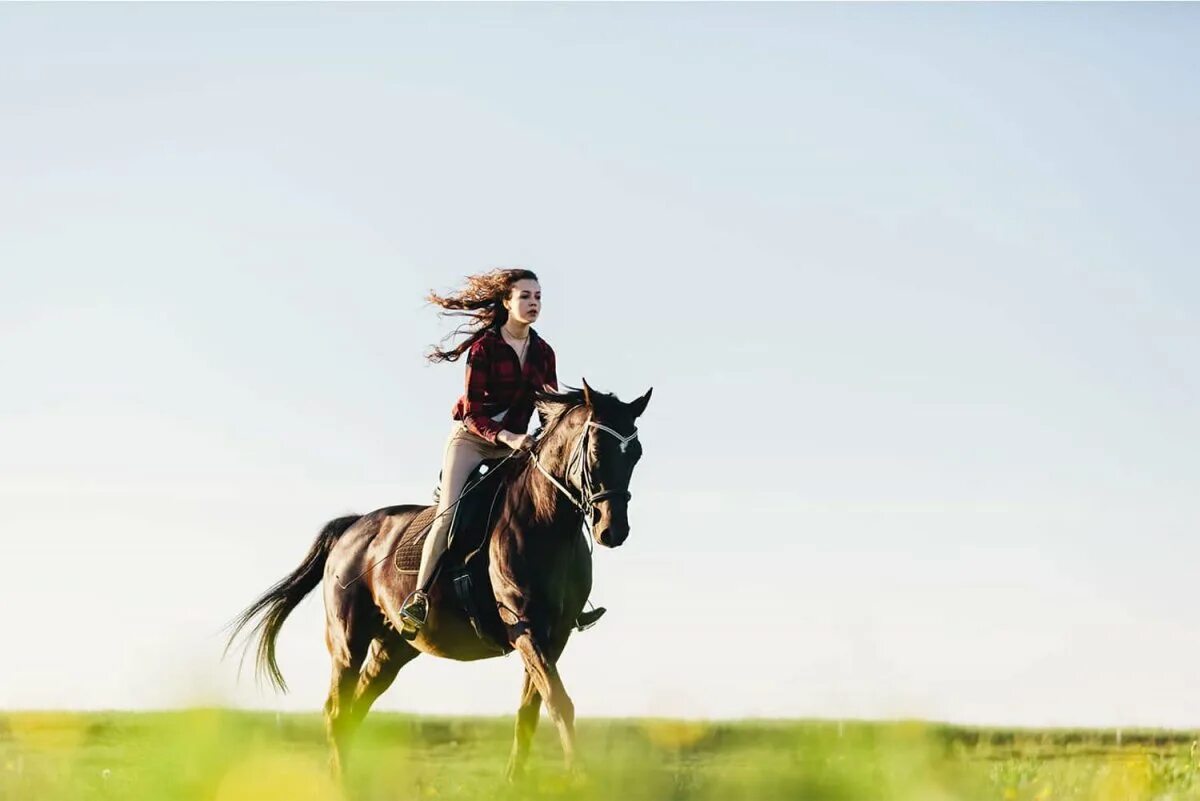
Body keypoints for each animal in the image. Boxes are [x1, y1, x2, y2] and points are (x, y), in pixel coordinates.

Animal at [225, 381, 657, 781]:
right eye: (597, 450)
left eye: (635, 454)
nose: (612, 530)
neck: (546, 523)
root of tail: (352, 527)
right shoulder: (524, 626)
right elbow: (559, 701)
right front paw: (578, 778)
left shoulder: (557, 634)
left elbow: (531, 709)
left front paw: (515, 781)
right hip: (348, 641)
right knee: (336, 710)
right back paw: (341, 783)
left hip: (393, 648)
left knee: (356, 707)